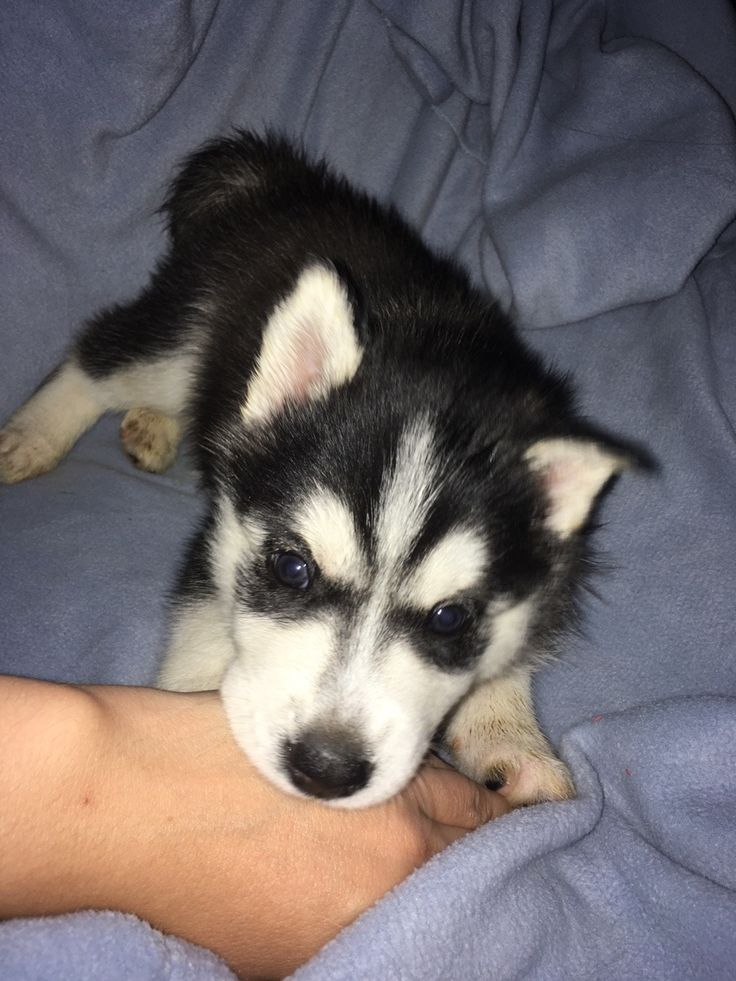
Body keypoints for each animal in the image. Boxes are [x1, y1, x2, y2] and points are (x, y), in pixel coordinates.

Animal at [0, 130, 640, 808]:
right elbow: (203, 636)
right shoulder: (221, 543)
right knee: (101, 356)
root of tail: (286, 181)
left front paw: (510, 738)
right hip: (185, 330)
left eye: (450, 618)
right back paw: (35, 435)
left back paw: (156, 427)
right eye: (293, 569)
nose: (327, 769)